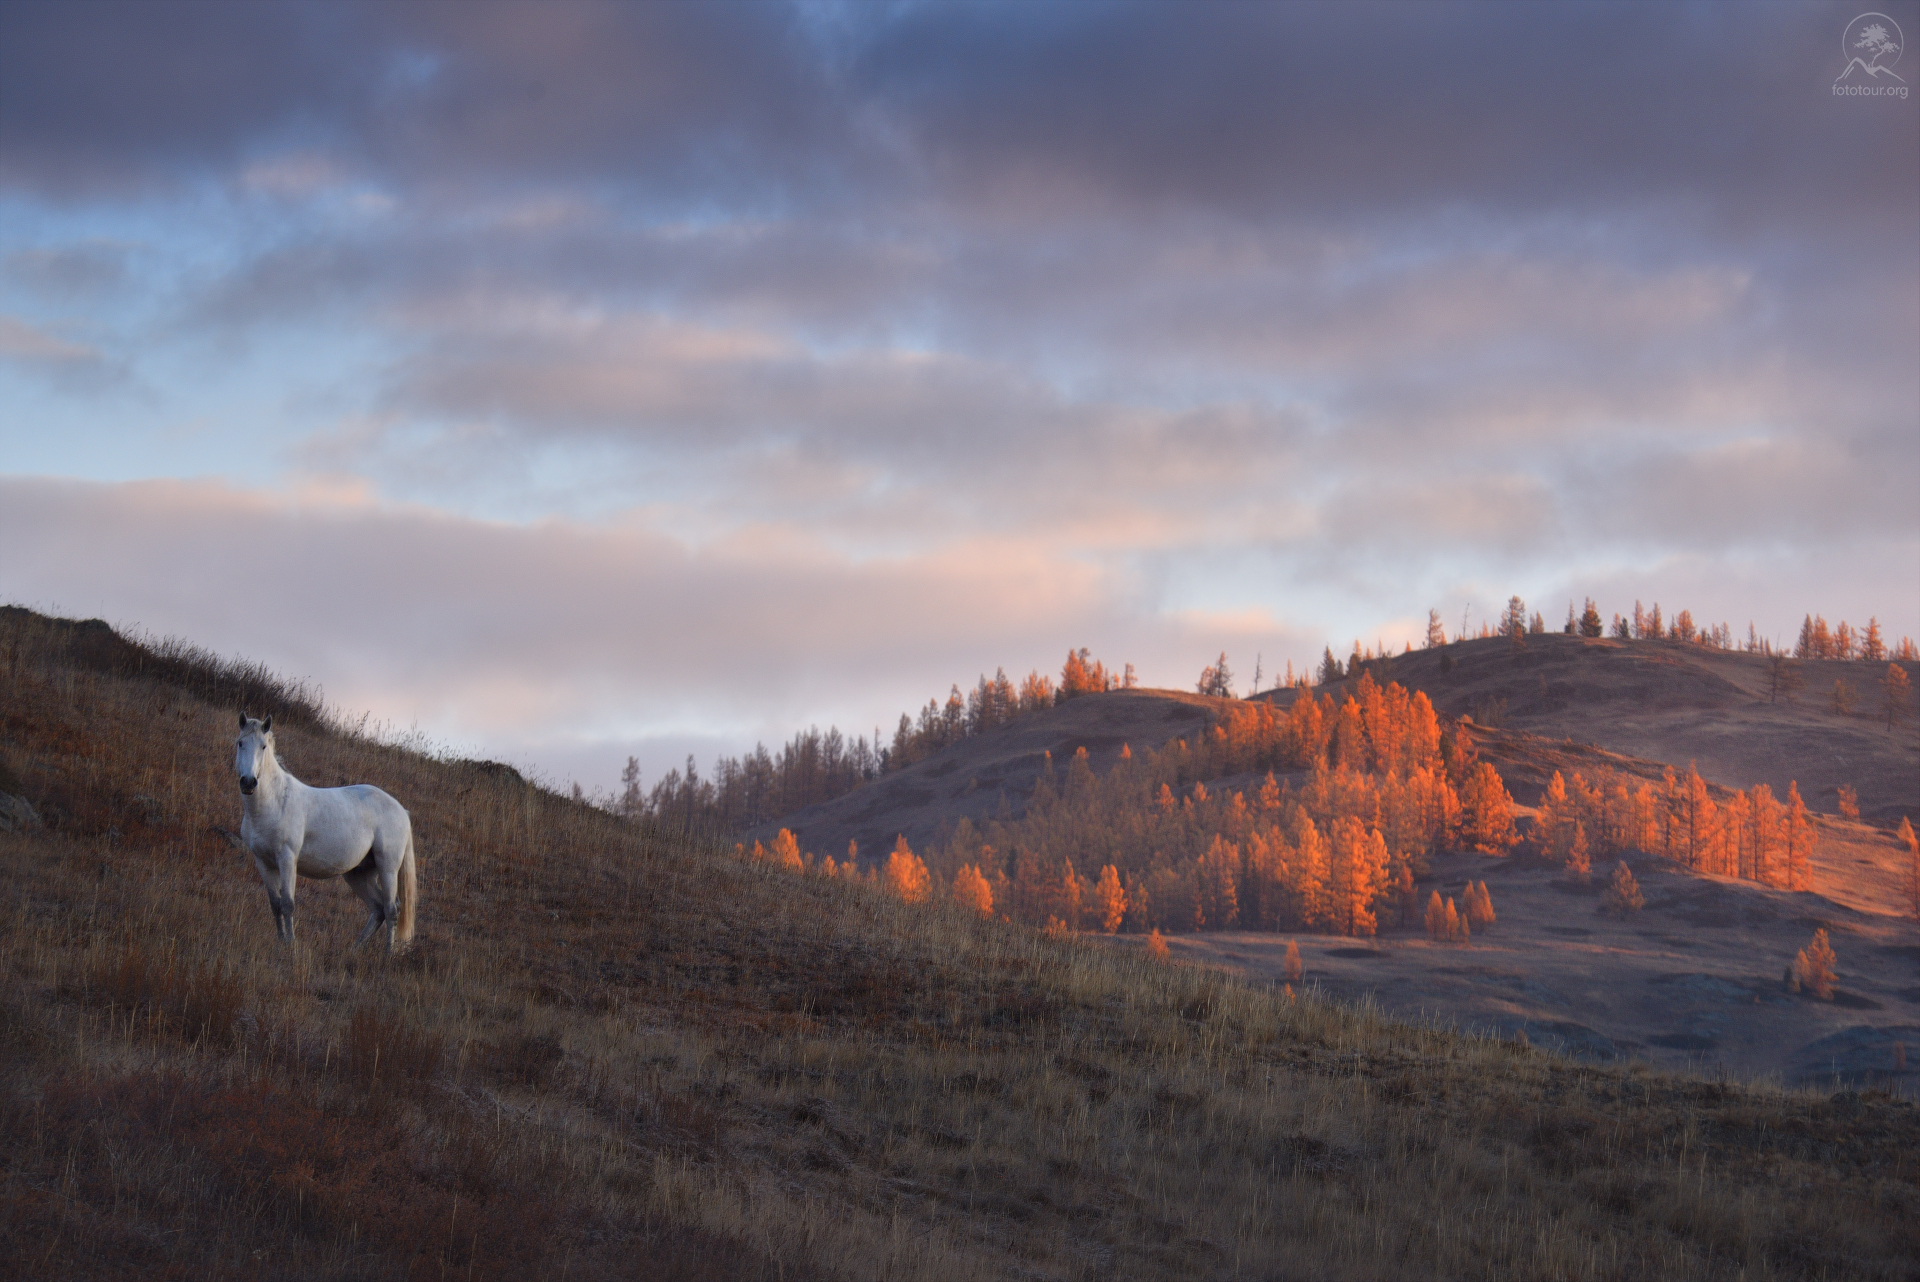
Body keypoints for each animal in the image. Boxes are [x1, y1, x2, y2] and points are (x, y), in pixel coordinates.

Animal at [234, 710, 418, 951]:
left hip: (387, 867)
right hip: (358, 873)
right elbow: (275, 905)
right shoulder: (263, 862)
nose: (248, 782)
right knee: (378, 908)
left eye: (263, 746)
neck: (274, 802)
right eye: (240, 743)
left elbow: (288, 904)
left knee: (391, 909)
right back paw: (354, 950)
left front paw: (290, 946)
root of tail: (401, 810)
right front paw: (281, 942)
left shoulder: (287, 858)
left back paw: (388, 952)